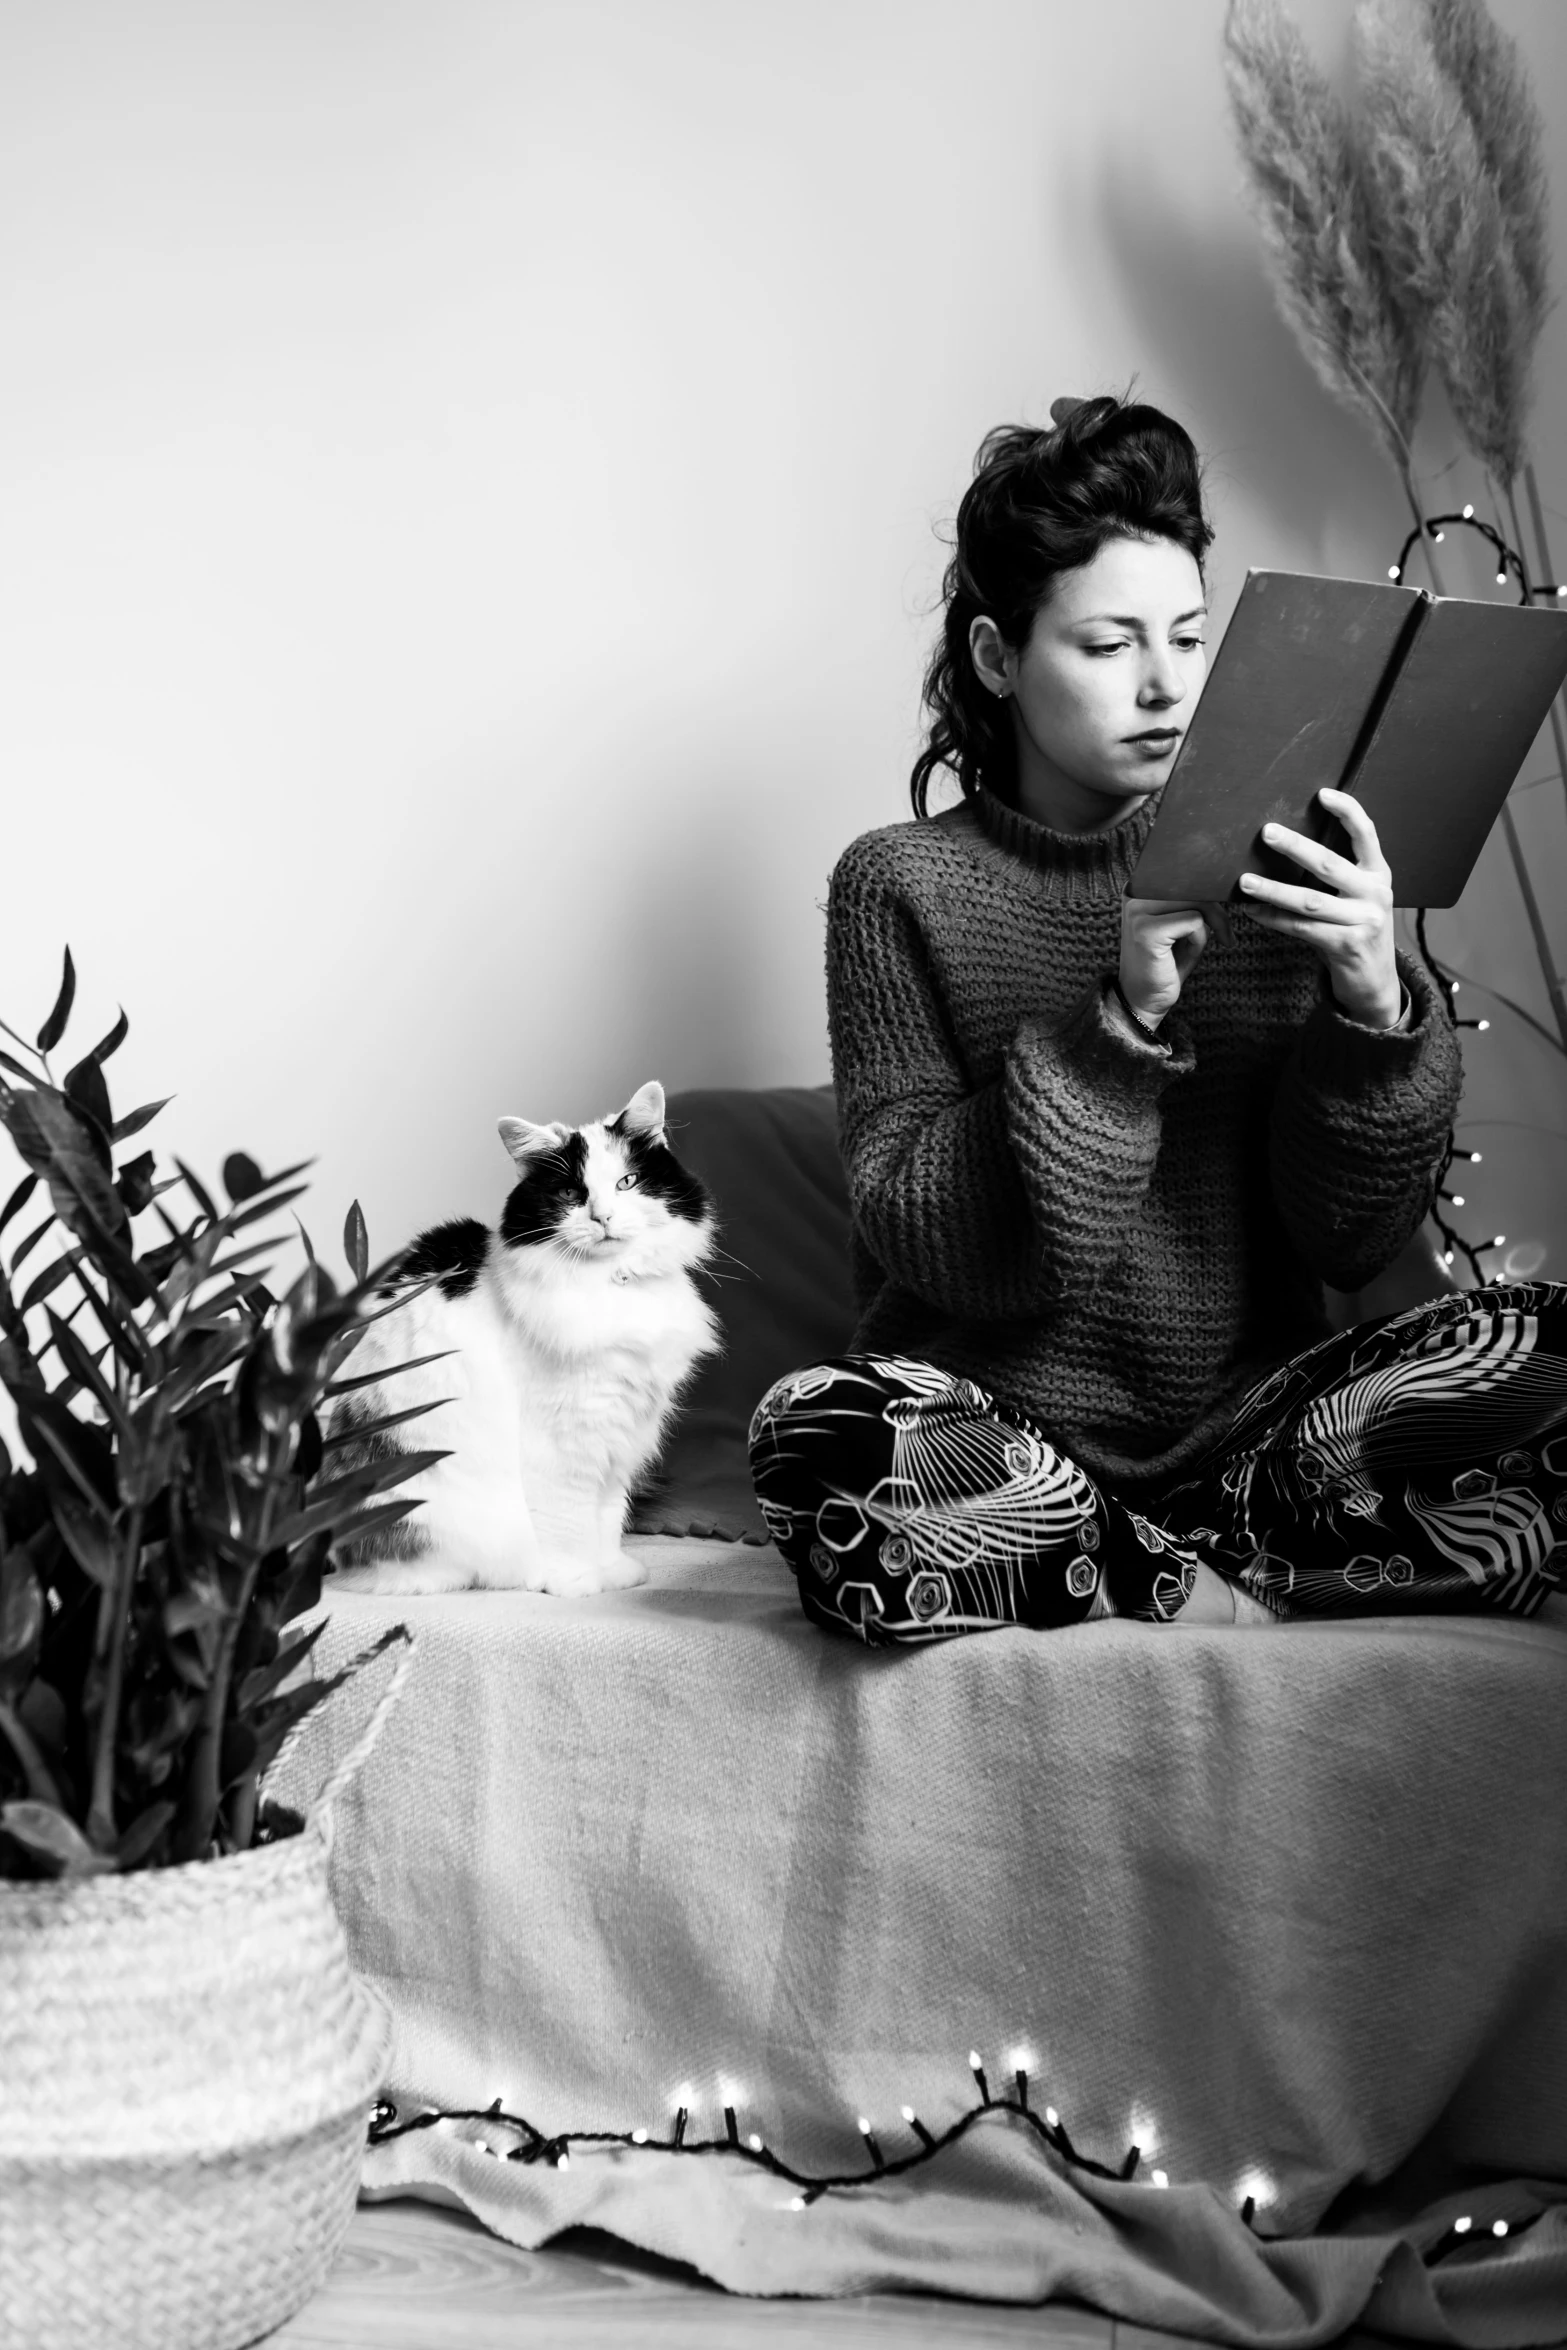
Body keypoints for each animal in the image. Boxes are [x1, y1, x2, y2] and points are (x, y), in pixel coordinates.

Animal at [335, 1081, 723, 1597]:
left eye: (627, 1182)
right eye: (570, 1192)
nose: (602, 1217)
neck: (610, 1285)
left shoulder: (617, 1437)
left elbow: (607, 1516)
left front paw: (611, 1572)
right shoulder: (563, 1439)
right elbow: (568, 1521)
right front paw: (574, 1582)